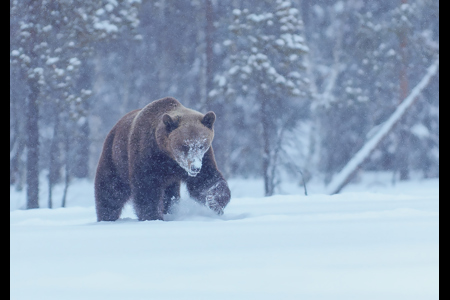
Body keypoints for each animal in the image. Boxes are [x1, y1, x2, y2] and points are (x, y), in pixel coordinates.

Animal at [93, 97, 230, 221]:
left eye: (202, 144)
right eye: (185, 145)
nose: (195, 168)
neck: (167, 155)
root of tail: (115, 126)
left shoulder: (204, 158)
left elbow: (206, 180)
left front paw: (214, 202)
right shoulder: (147, 155)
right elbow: (146, 188)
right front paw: (153, 216)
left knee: (170, 195)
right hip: (115, 159)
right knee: (111, 190)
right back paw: (107, 217)